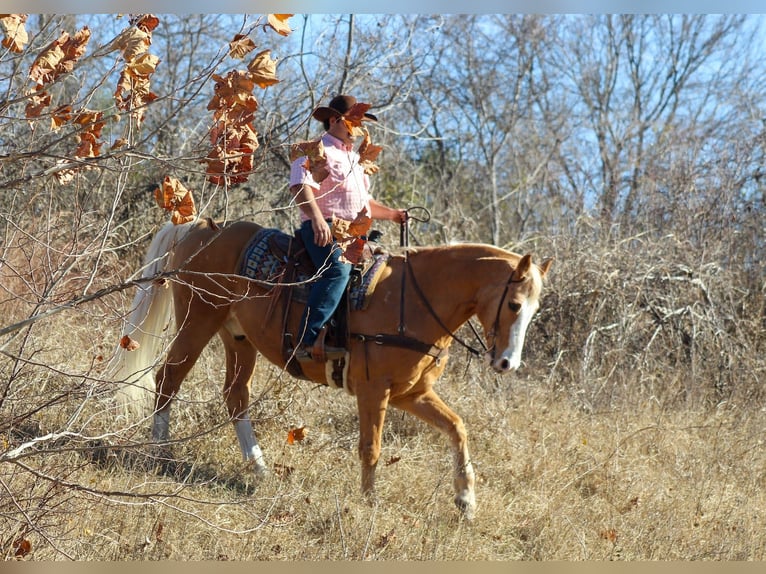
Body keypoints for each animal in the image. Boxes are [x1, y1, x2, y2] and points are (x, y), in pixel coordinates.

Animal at [113, 217, 552, 519]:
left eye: (534, 308)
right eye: (514, 304)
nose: (507, 362)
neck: (414, 300)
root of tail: (202, 227)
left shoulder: (411, 393)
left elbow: (457, 427)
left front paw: (465, 501)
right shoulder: (374, 390)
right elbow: (371, 446)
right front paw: (369, 503)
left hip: (238, 339)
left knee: (235, 396)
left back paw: (259, 469)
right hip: (198, 321)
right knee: (168, 379)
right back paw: (161, 453)